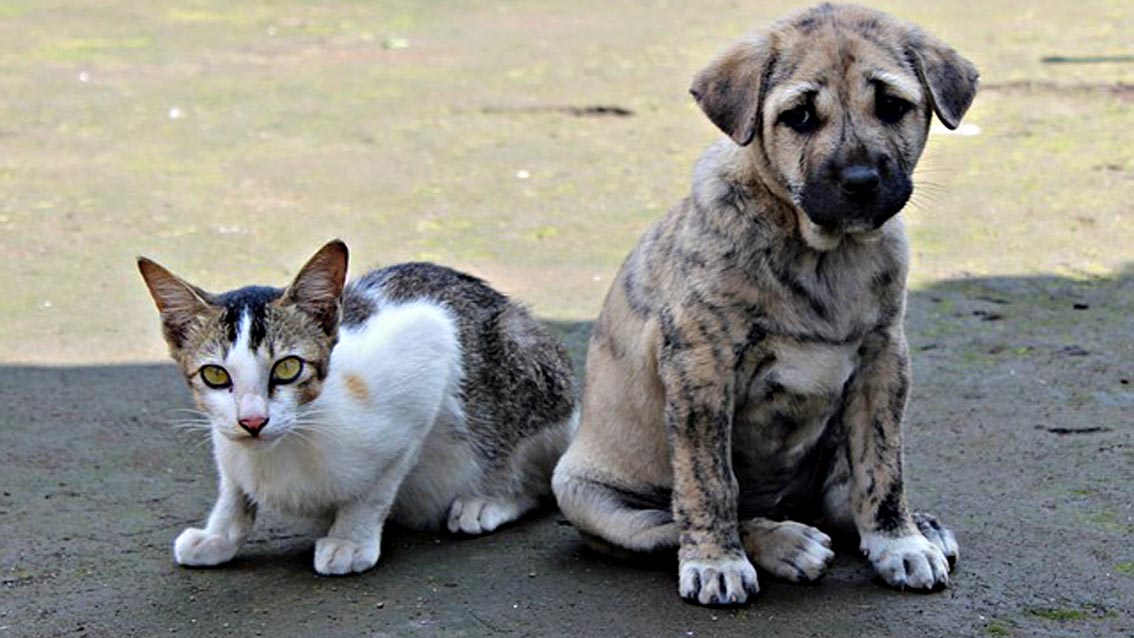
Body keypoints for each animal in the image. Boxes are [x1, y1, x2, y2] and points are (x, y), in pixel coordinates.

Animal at [136, 241, 576, 580]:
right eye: (214, 375)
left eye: (288, 368)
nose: (253, 421)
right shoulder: (226, 439)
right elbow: (233, 487)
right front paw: (219, 535)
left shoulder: (428, 352)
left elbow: (377, 487)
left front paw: (350, 538)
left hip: (527, 365)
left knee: (537, 478)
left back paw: (490, 500)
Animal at [548, 2, 975, 607]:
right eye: (799, 116)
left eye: (893, 105)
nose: (861, 181)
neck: (822, 253)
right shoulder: (701, 369)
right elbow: (709, 483)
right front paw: (717, 562)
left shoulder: (883, 360)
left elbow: (882, 466)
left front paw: (899, 541)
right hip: (591, 497)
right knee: (676, 521)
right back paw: (784, 543)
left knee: (840, 493)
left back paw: (917, 525)